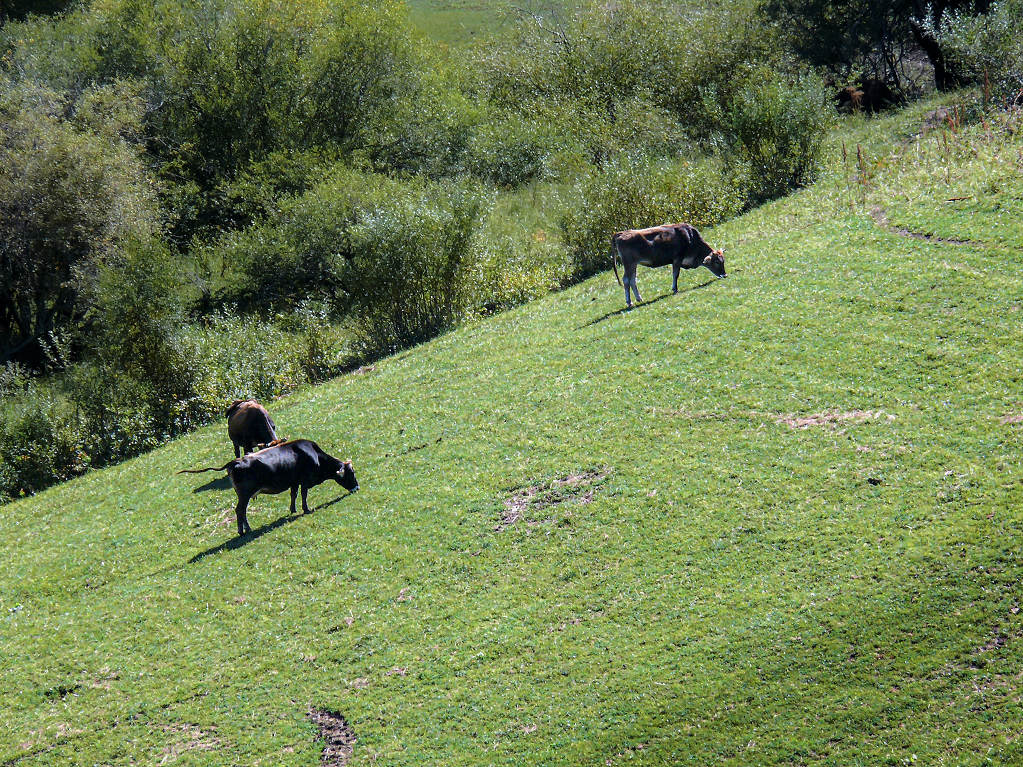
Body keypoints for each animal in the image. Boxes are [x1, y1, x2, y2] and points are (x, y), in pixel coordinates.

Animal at [180, 441, 360, 535]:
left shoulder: (294, 481)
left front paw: (293, 509)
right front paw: (306, 509)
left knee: (242, 511)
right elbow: (303, 495)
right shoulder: (304, 480)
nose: (357, 488)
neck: (314, 455)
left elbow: (293, 495)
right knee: (240, 510)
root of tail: (235, 461)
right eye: (351, 473)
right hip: (245, 494)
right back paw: (244, 531)